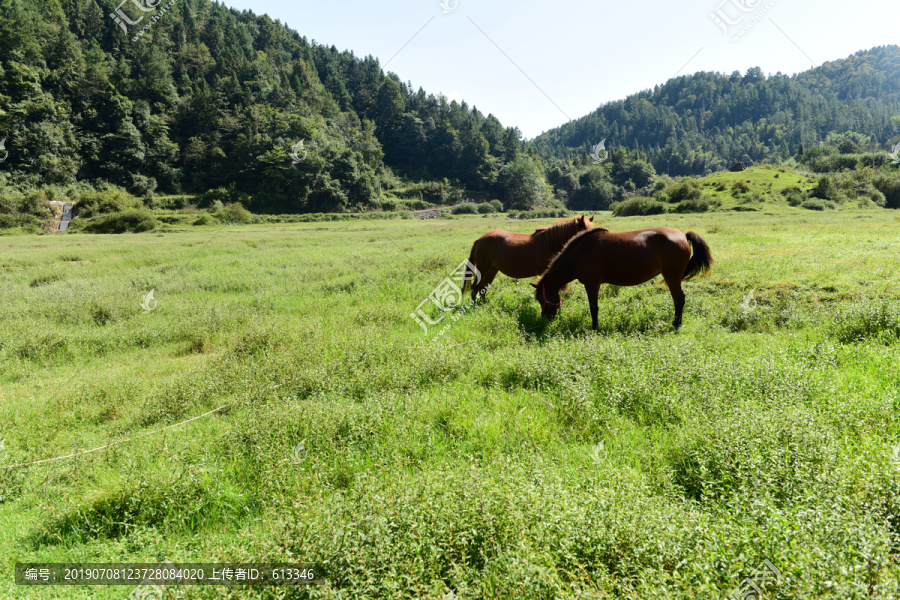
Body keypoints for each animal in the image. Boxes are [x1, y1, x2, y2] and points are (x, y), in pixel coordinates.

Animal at [461, 215, 594, 301]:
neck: (550, 243)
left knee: (483, 288)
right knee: (475, 288)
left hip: (492, 270)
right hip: (483, 269)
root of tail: (480, 240)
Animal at [532, 227, 713, 330]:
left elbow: (593, 308)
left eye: (541, 299)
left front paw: (594, 328)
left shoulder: (591, 284)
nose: (547, 318)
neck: (579, 253)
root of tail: (683, 235)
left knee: (679, 299)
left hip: (672, 276)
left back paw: (676, 325)